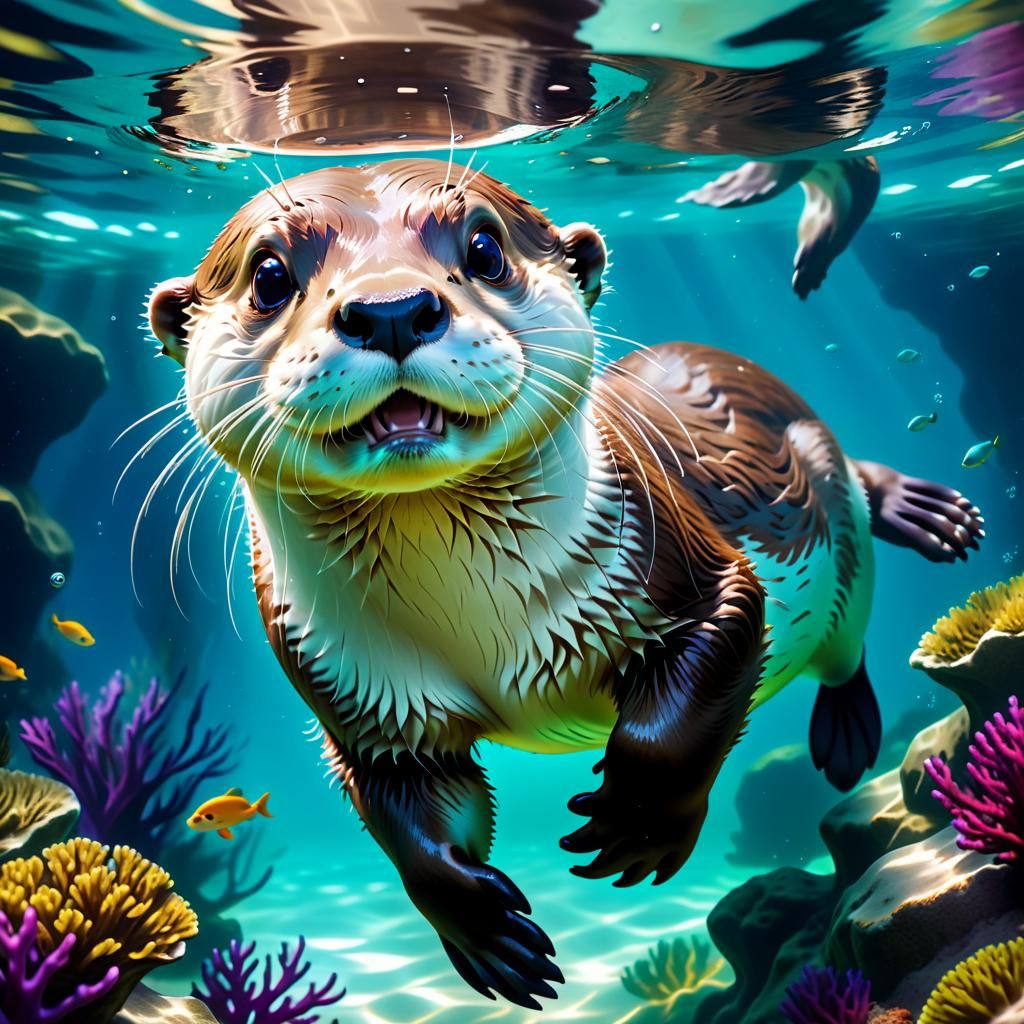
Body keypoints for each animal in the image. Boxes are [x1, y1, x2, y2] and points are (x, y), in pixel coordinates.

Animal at [148, 161, 983, 1010]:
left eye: (485, 248)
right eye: (270, 275)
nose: (391, 311)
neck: (474, 620)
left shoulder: (682, 561)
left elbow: (699, 679)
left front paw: (638, 823)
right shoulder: (361, 700)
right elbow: (406, 819)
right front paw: (484, 931)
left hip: (828, 503)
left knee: (847, 634)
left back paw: (854, 717)